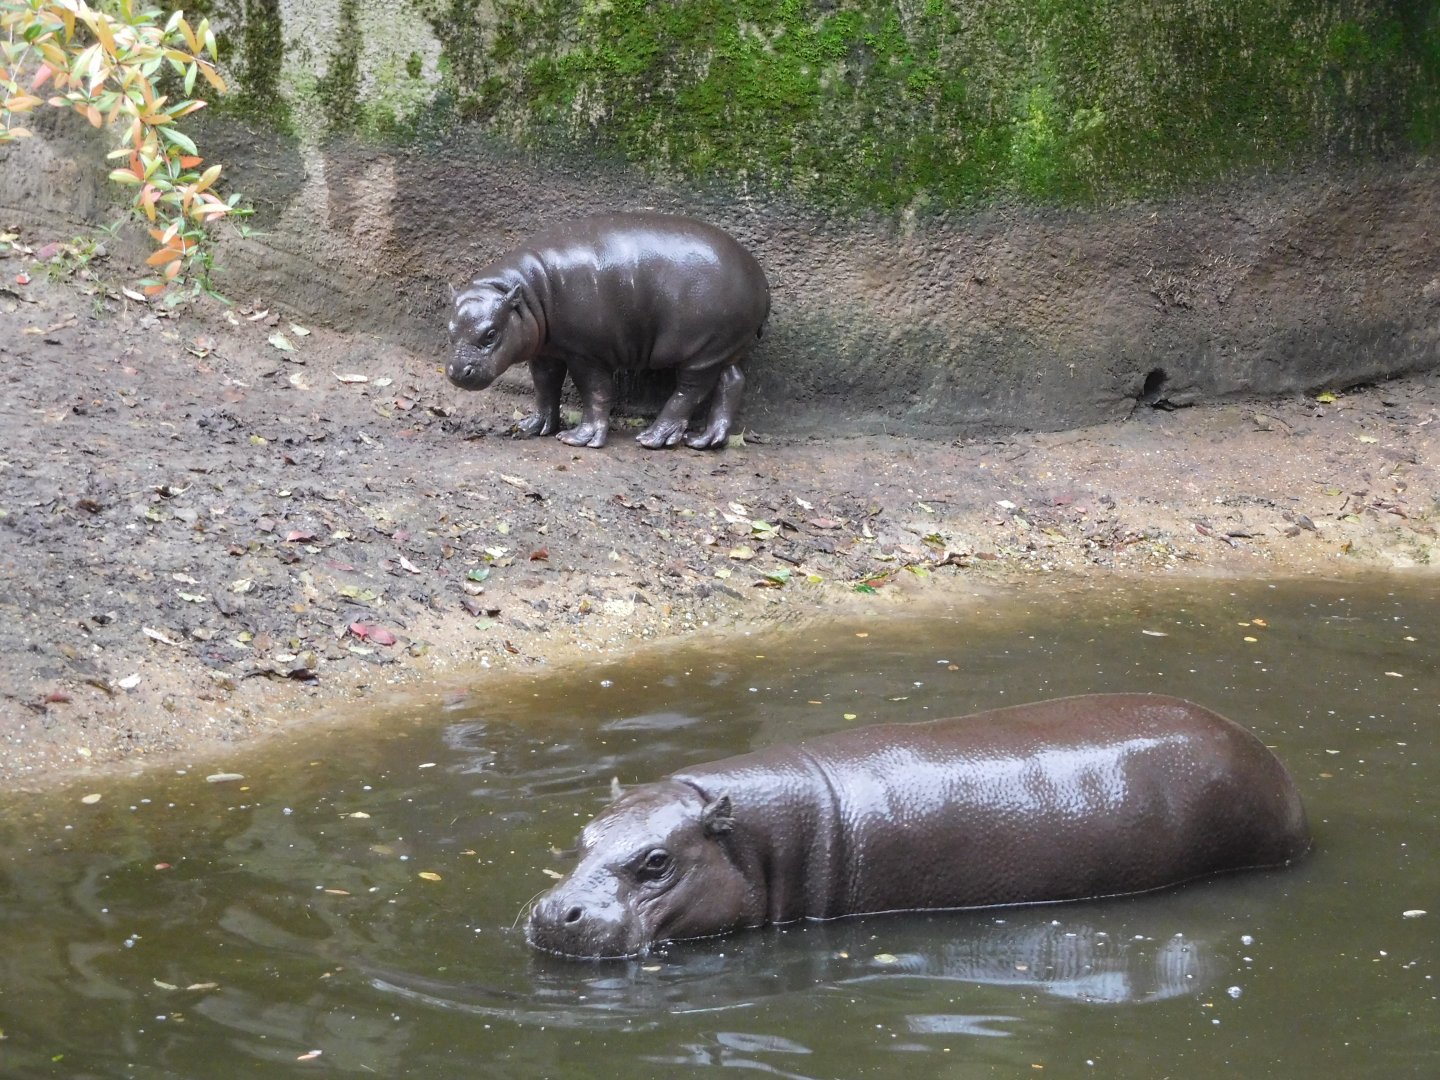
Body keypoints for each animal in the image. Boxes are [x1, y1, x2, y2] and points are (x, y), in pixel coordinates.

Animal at [446, 212, 770, 450]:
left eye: (490, 334)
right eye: (449, 329)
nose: (457, 371)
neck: (525, 292)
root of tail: (762, 282)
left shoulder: (586, 353)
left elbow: (595, 392)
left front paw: (579, 439)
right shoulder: (547, 351)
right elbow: (545, 386)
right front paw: (532, 427)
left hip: (700, 349)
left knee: (690, 391)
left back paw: (653, 439)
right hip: (723, 348)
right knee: (731, 381)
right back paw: (705, 441)